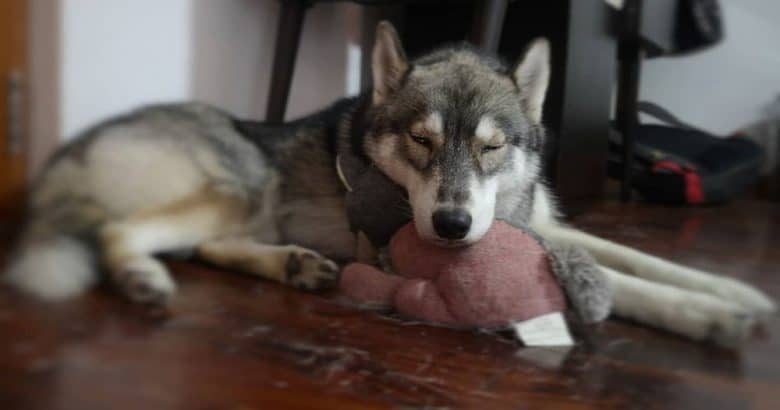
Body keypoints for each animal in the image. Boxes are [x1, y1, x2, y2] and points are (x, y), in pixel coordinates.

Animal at [6, 22, 772, 346]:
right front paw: (710, 316)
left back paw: (297, 265)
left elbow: (645, 260)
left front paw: (738, 293)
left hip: (245, 211)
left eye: (492, 148)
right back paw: (143, 278)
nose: (453, 228)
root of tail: (70, 150)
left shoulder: (544, 227)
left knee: (209, 248)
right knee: (122, 233)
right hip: (237, 187)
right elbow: (629, 283)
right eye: (421, 141)